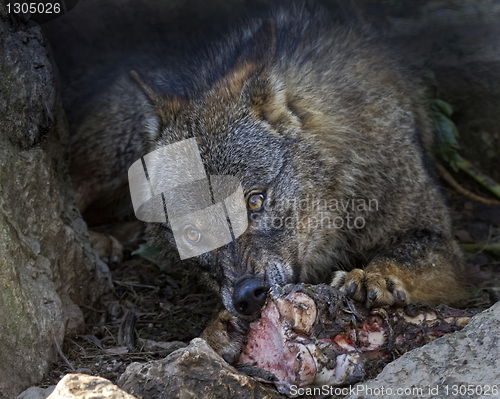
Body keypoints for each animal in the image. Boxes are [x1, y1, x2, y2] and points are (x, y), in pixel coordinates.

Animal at [69, 0, 468, 362]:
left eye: (255, 201)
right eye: (192, 235)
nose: (247, 296)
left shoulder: (438, 239)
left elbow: (403, 255)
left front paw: (375, 275)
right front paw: (217, 329)